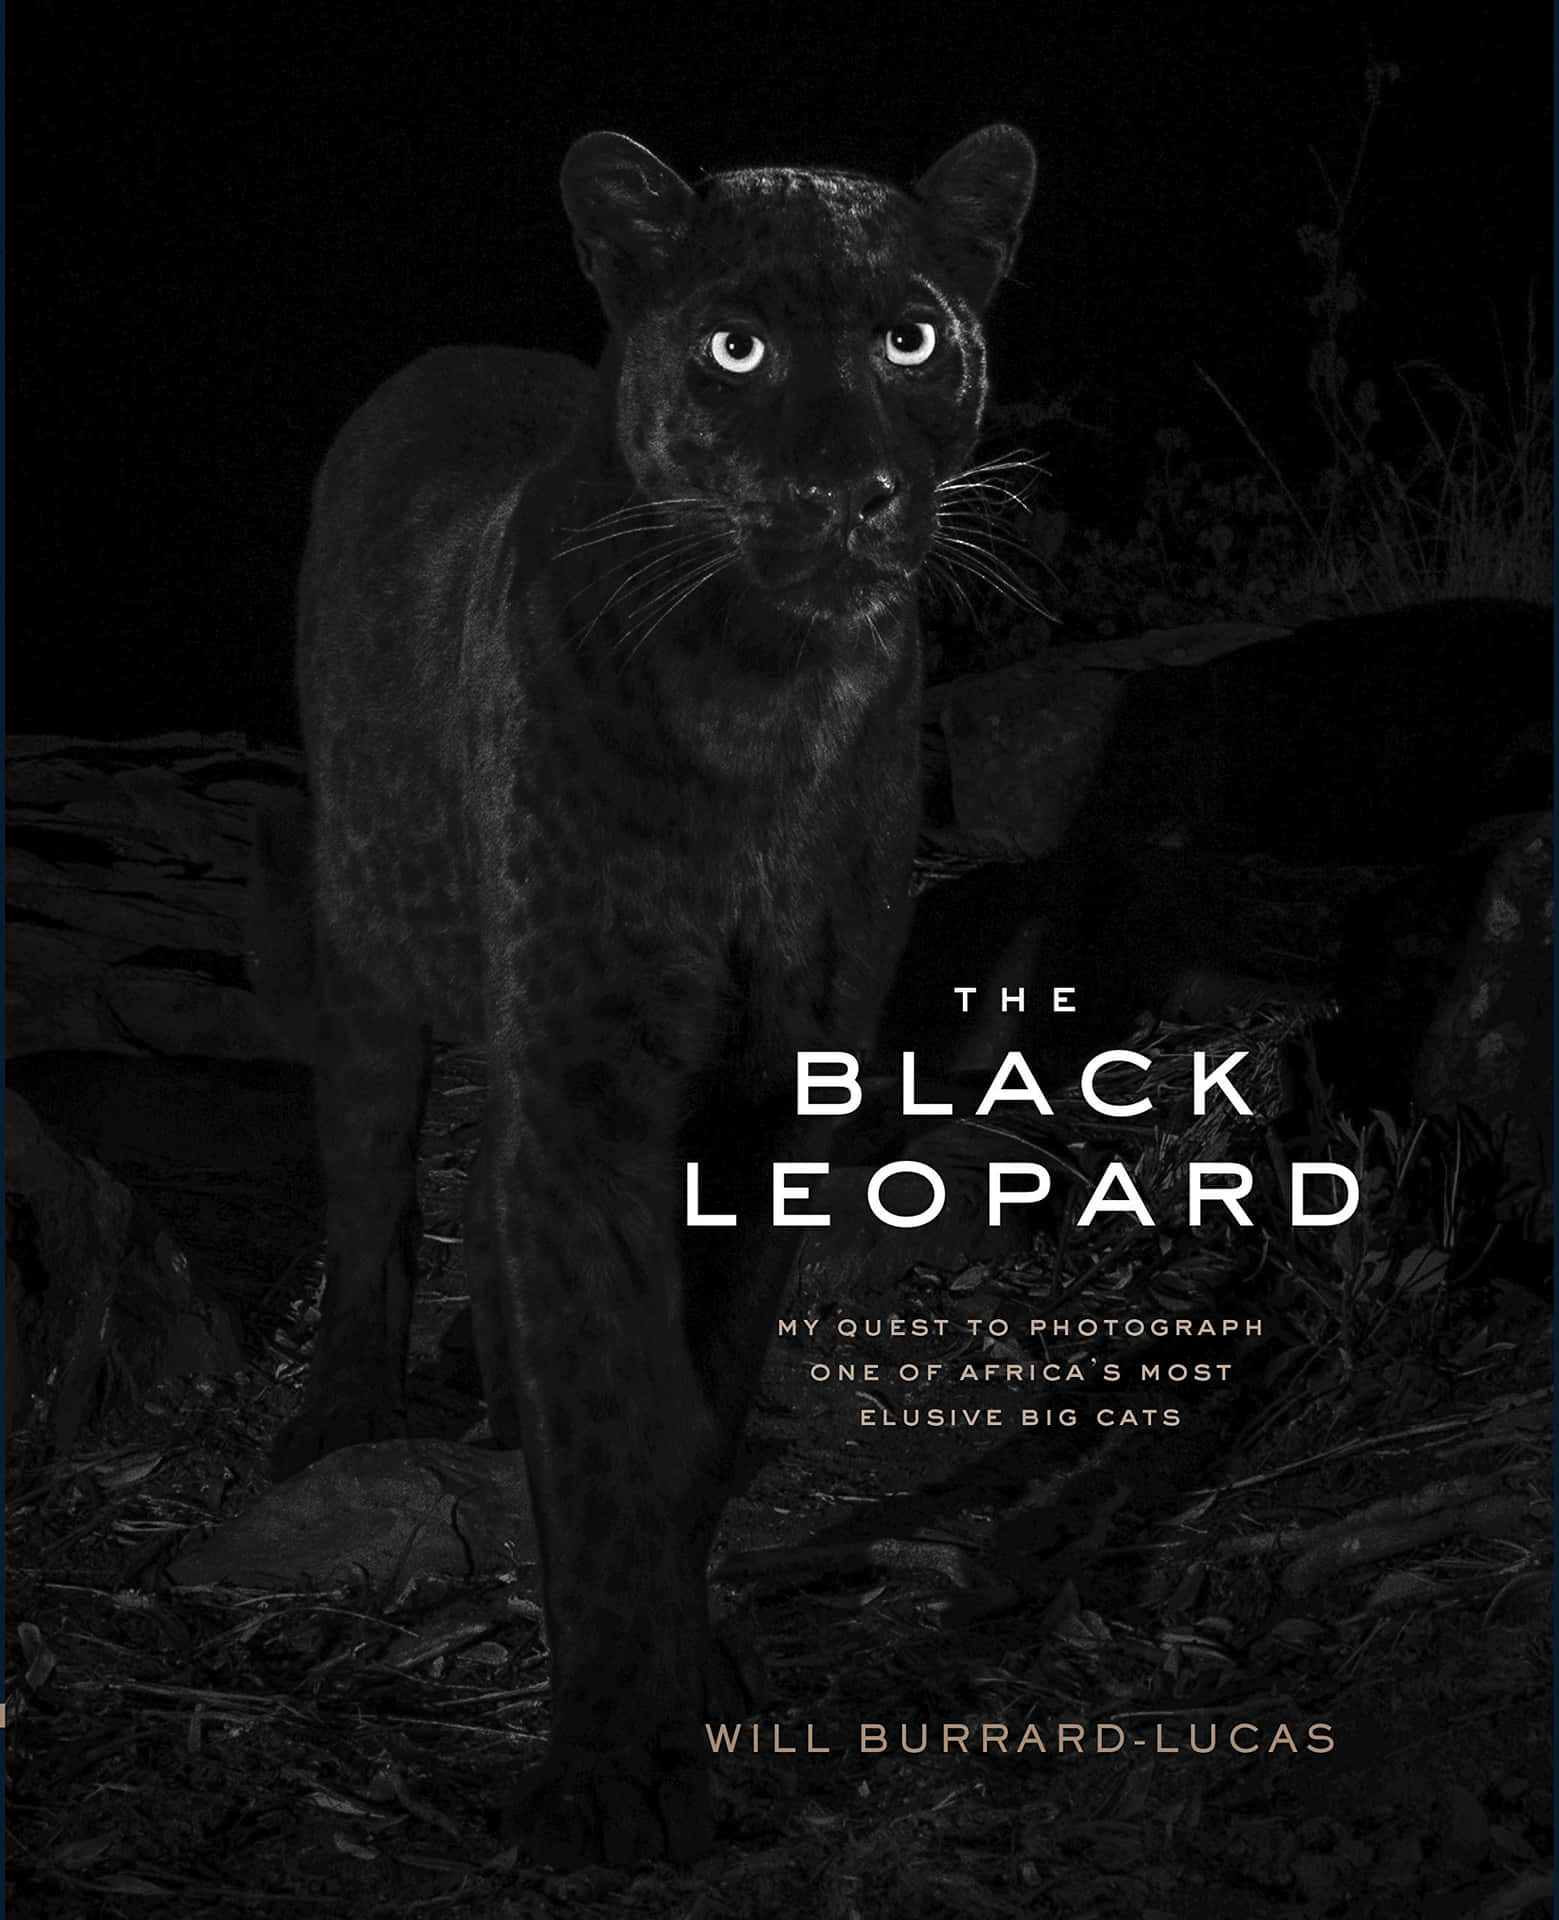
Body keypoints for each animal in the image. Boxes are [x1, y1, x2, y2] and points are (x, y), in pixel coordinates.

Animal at [269, 122, 1036, 1867]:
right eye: (733, 347)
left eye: (910, 336)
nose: (837, 493)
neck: (763, 689)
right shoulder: (587, 1072)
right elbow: (618, 1408)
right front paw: (613, 1775)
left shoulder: (771, 1091)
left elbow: (697, 1398)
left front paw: (693, 1671)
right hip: (368, 941)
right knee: (371, 1175)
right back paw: (347, 1410)